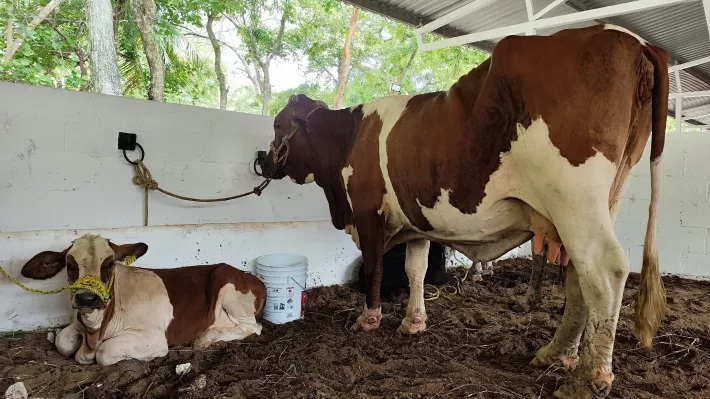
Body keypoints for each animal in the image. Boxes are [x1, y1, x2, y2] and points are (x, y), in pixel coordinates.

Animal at [22, 234, 268, 368]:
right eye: (69, 265)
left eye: (108, 264)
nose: (87, 298)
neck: (94, 332)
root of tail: (252, 278)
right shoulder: (77, 323)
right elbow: (62, 342)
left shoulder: (154, 338)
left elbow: (105, 352)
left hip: (227, 286)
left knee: (253, 327)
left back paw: (204, 339)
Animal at [258, 23, 672, 398]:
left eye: (278, 124)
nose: (262, 160)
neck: (349, 138)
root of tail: (633, 39)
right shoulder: (416, 223)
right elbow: (415, 270)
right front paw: (413, 323)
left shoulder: (367, 212)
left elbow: (375, 267)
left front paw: (368, 319)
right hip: (601, 202)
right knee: (580, 276)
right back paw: (556, 353)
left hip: (574, 198)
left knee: (604, 271)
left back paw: (586, 381)